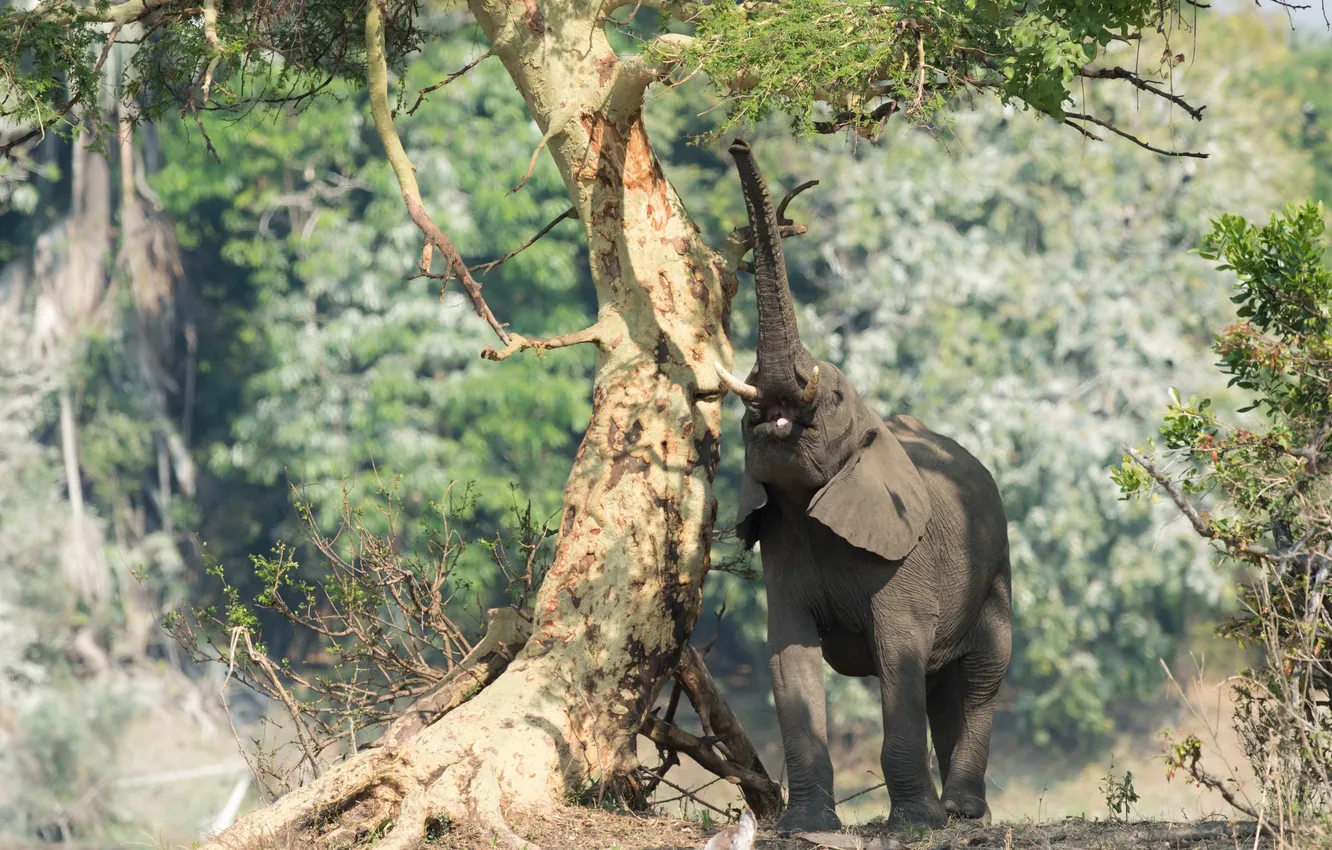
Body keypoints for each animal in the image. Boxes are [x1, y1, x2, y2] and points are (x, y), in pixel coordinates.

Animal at [719, 139, 1006, 842]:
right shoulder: (783, 547)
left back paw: (960, 813)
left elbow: (898, 653)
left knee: (981, 678)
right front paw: (804, 826)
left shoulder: (904, 561)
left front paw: (914, 827)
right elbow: (787, 654)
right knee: (944, 685)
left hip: (997, 569)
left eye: (835, 398)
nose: (738, 142)